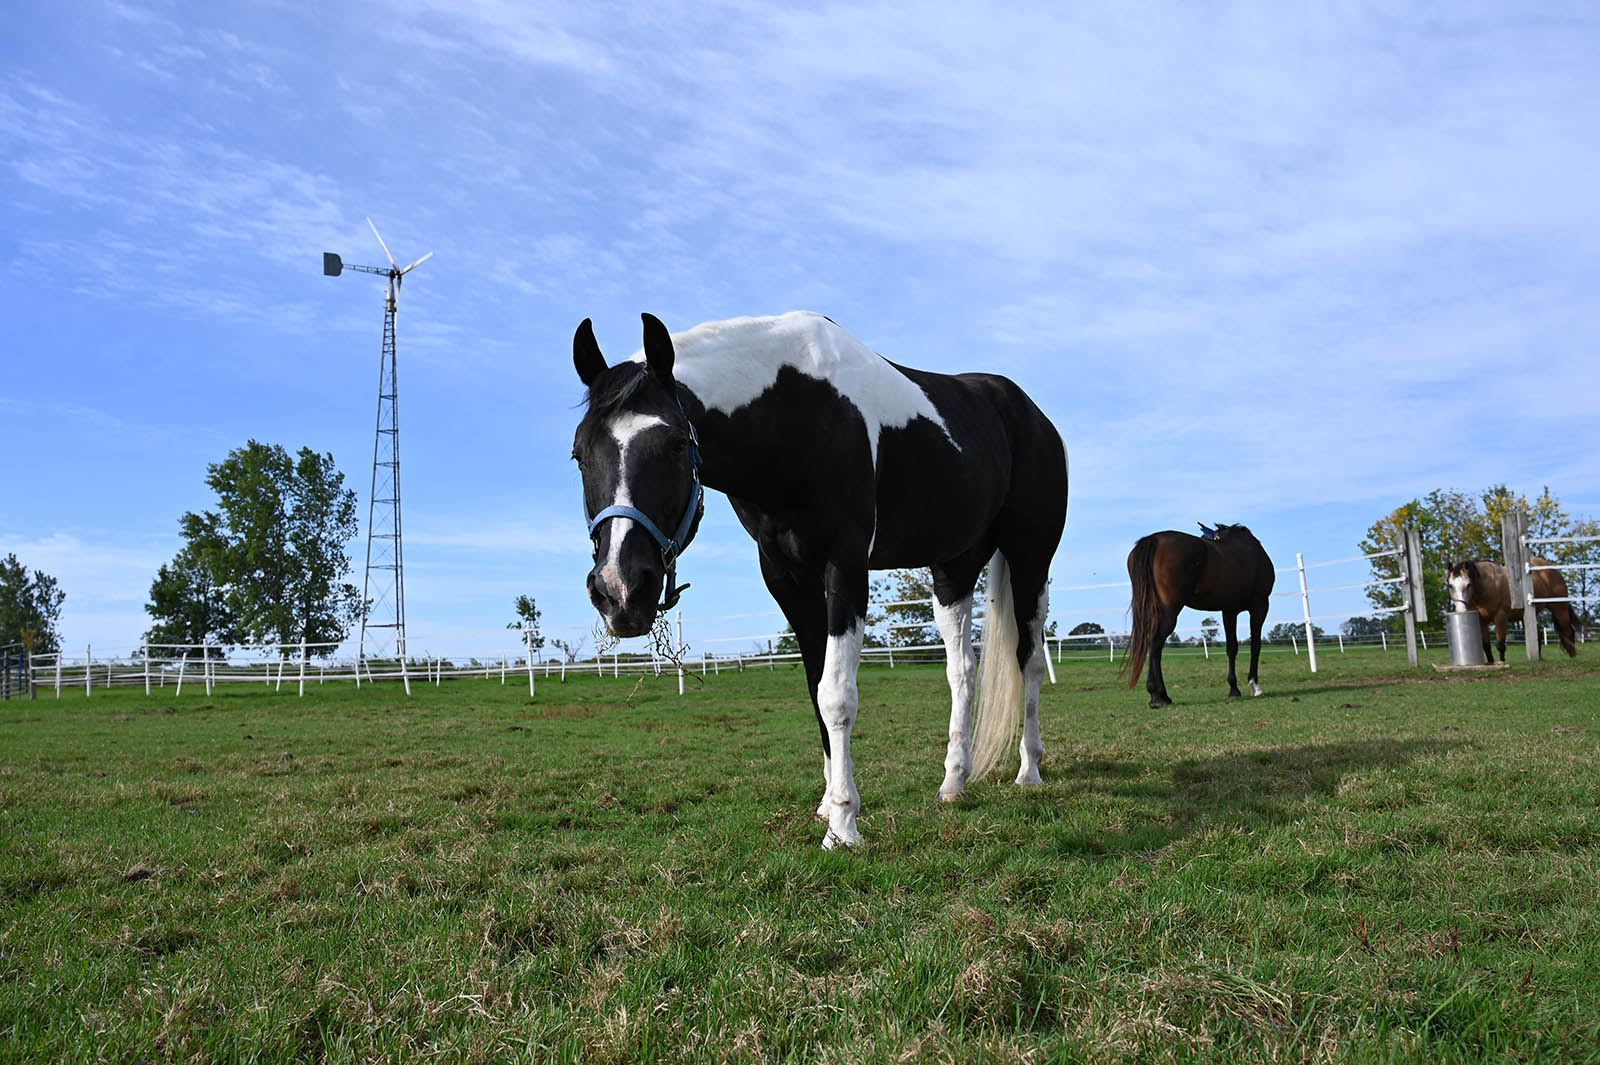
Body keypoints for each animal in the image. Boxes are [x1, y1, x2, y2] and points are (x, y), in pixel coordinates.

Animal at [569, 308, 1068, 844]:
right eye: (578, 454)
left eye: (677, 445)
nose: (621, 590)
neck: (799, 412)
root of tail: (1031, 415)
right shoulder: (786, 578)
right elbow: (815, 691)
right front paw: (829, 805)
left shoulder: (844, 567)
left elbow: (837, 695)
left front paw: (845, 826)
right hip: (953, 569)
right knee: (963, 671)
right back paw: (954, 783)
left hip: (1031, 559)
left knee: (1028, 660)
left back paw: (1029, 771)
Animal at [1126, 521, 1273, 703]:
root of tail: (1153, 539)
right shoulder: (1260, 605)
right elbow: (1255, 645)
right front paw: (1254, 686)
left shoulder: (1229, 611)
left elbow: (1232, 647)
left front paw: (1234, 688)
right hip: (1170, 611)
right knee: (1155, 645)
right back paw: (1159, 696)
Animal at [1446, 556, 1580, 655]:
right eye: (1450, 585)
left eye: (1468, 585)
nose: (1460, 609)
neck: (1487, 587)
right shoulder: (1482, 621)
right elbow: (1486, 647)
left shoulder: (1500, 618)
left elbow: (1500, 645)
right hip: (1529, 615)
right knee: (1538, 635)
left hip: (1560, 609)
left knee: (1568, 632)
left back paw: (1573, 656)